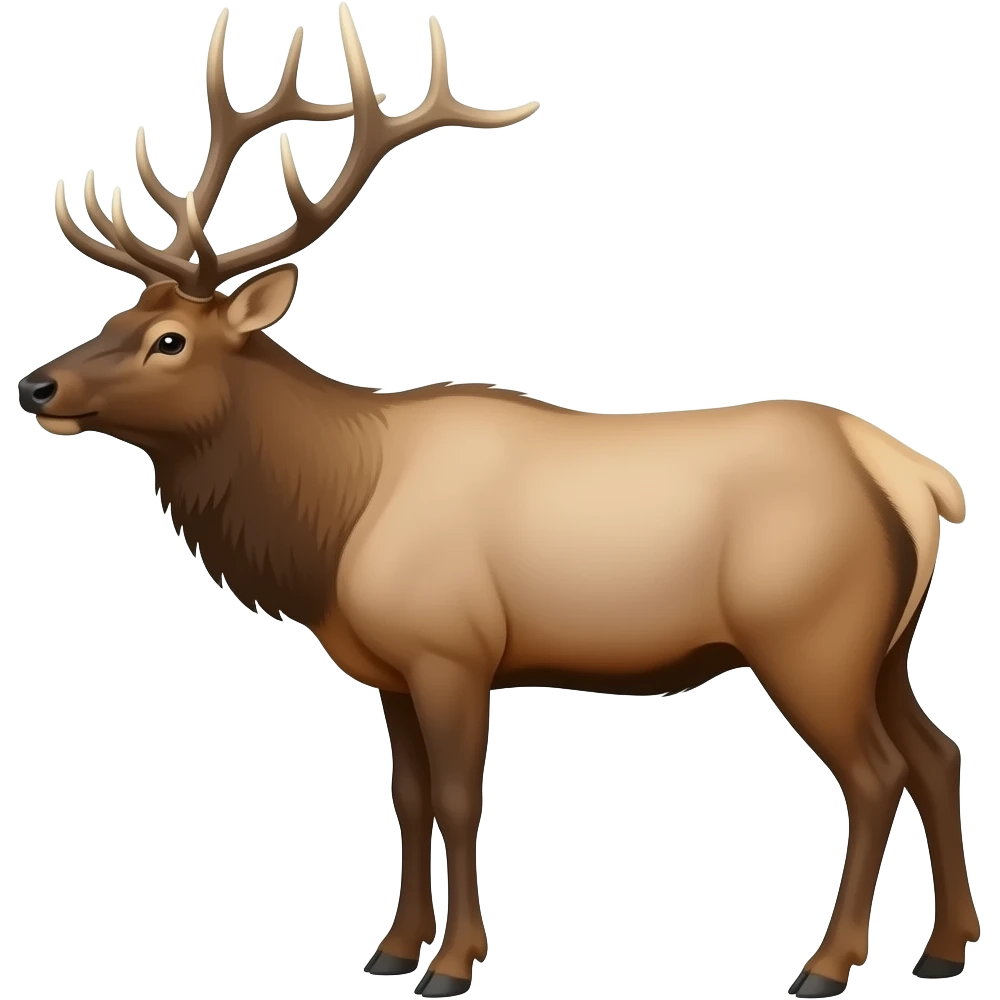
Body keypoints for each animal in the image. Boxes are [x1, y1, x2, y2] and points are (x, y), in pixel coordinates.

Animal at [19, 6, 977, 999]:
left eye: (169, 340)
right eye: (117, 317)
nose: (35, 385)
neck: (332, 522)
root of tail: (918, 477)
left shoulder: (453, 648)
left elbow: (456, 798)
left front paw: (452, 962)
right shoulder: (389, 666)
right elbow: (405, 799)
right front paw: (392, 948)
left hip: (808, 635)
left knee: (875, 774)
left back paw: (826, 964)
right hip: (885, 645)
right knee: (938, 753)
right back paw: (942, 951)